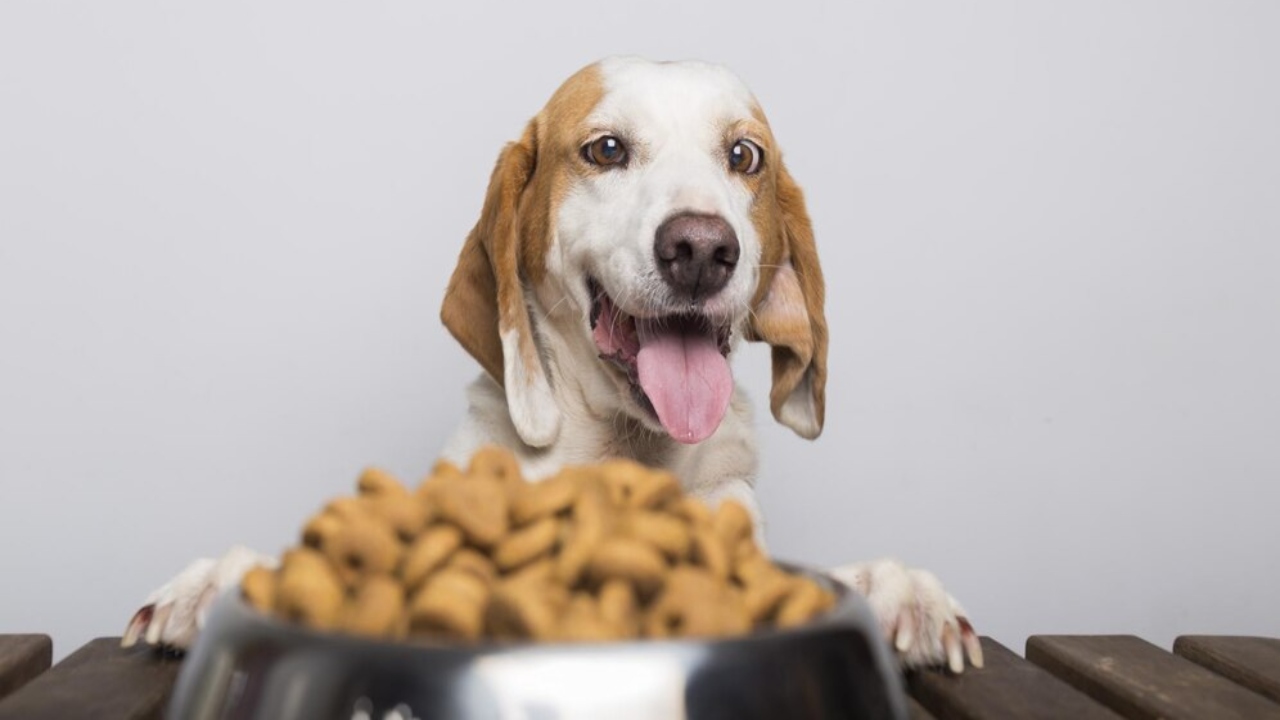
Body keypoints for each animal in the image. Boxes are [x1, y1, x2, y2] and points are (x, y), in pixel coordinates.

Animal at [124, 56, 977, 671]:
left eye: (744, 155)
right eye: (606, 149)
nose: (702, 248)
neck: (617, 451)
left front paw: (903, 590)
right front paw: (214, 580)